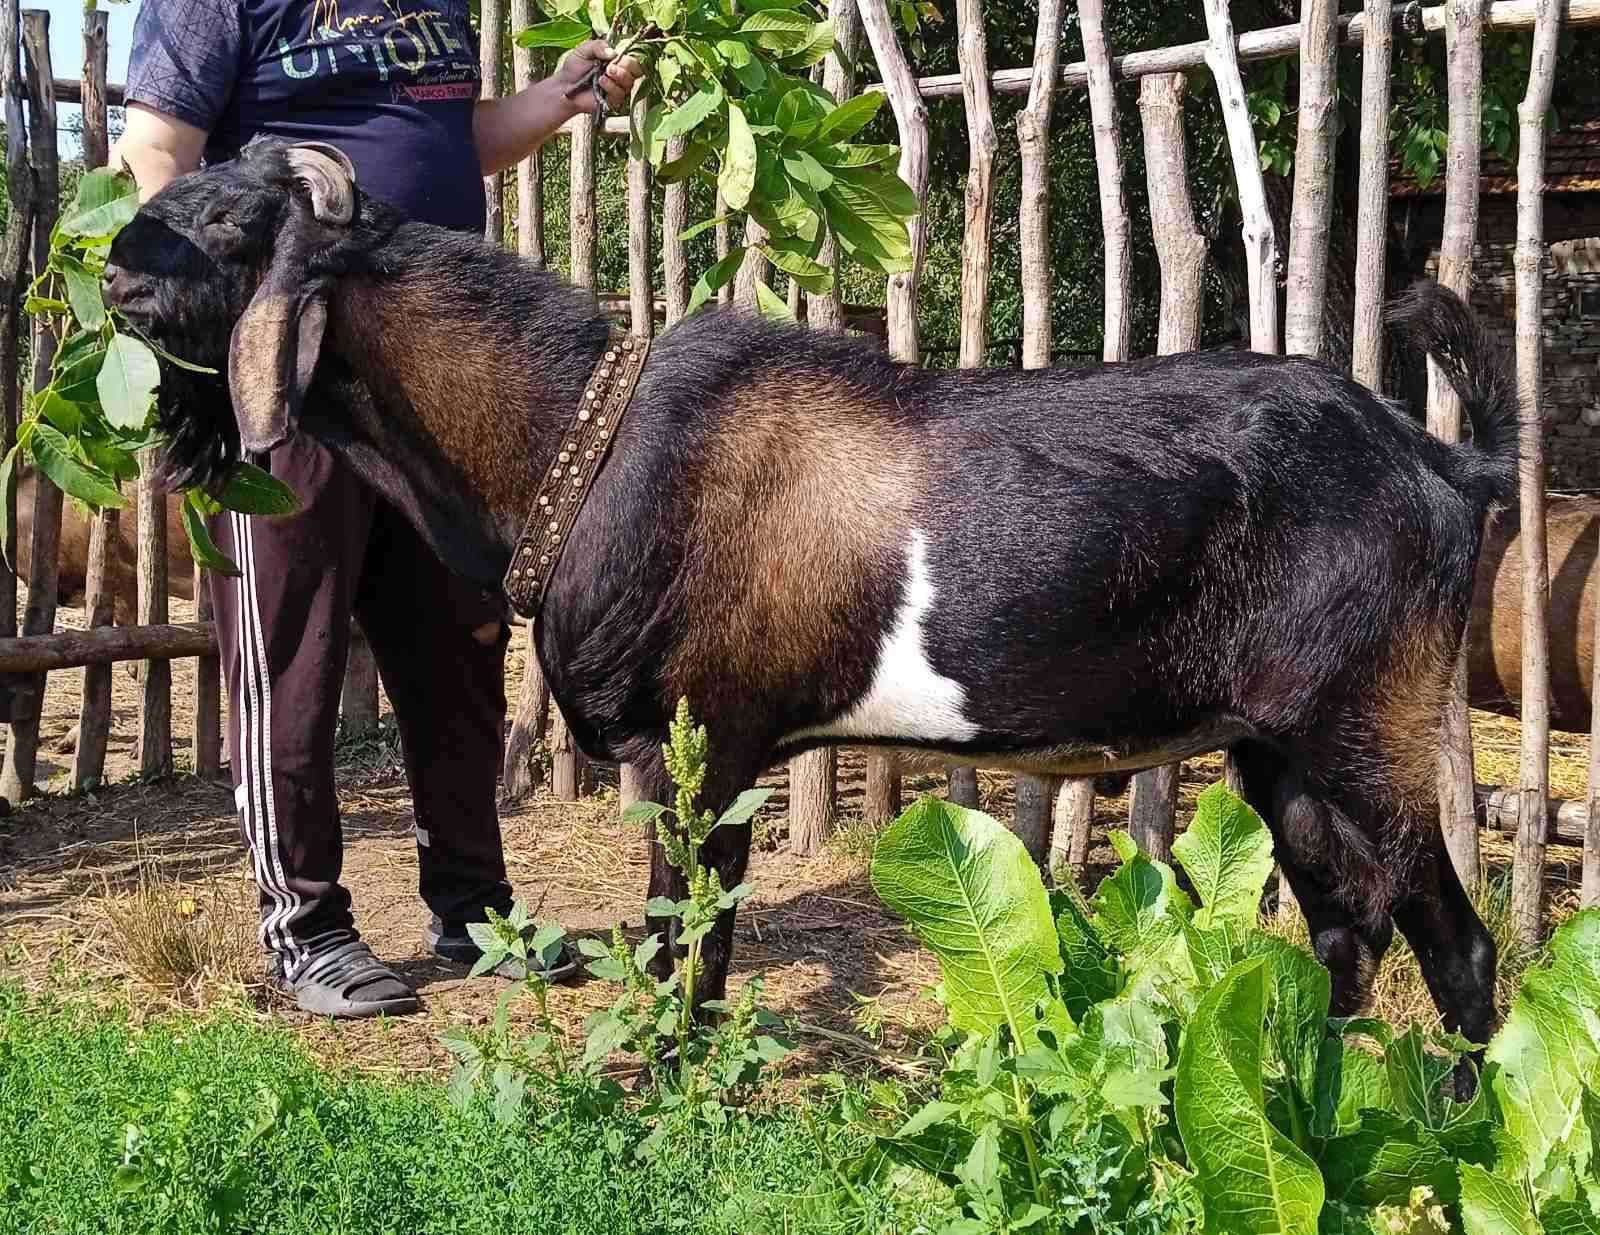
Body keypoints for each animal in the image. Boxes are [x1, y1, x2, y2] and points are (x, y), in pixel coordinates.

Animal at [106, 139, 1516, 1049]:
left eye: (231, 226)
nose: (116, 258)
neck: (584, 434)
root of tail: (1440, 462)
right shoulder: (710, 756)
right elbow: (693, 941)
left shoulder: (702, 741)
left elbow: (688, 942)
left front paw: (660, 1076)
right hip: (1279, 751)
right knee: (1346, 928)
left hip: (1367, 726)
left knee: (1454, 941)